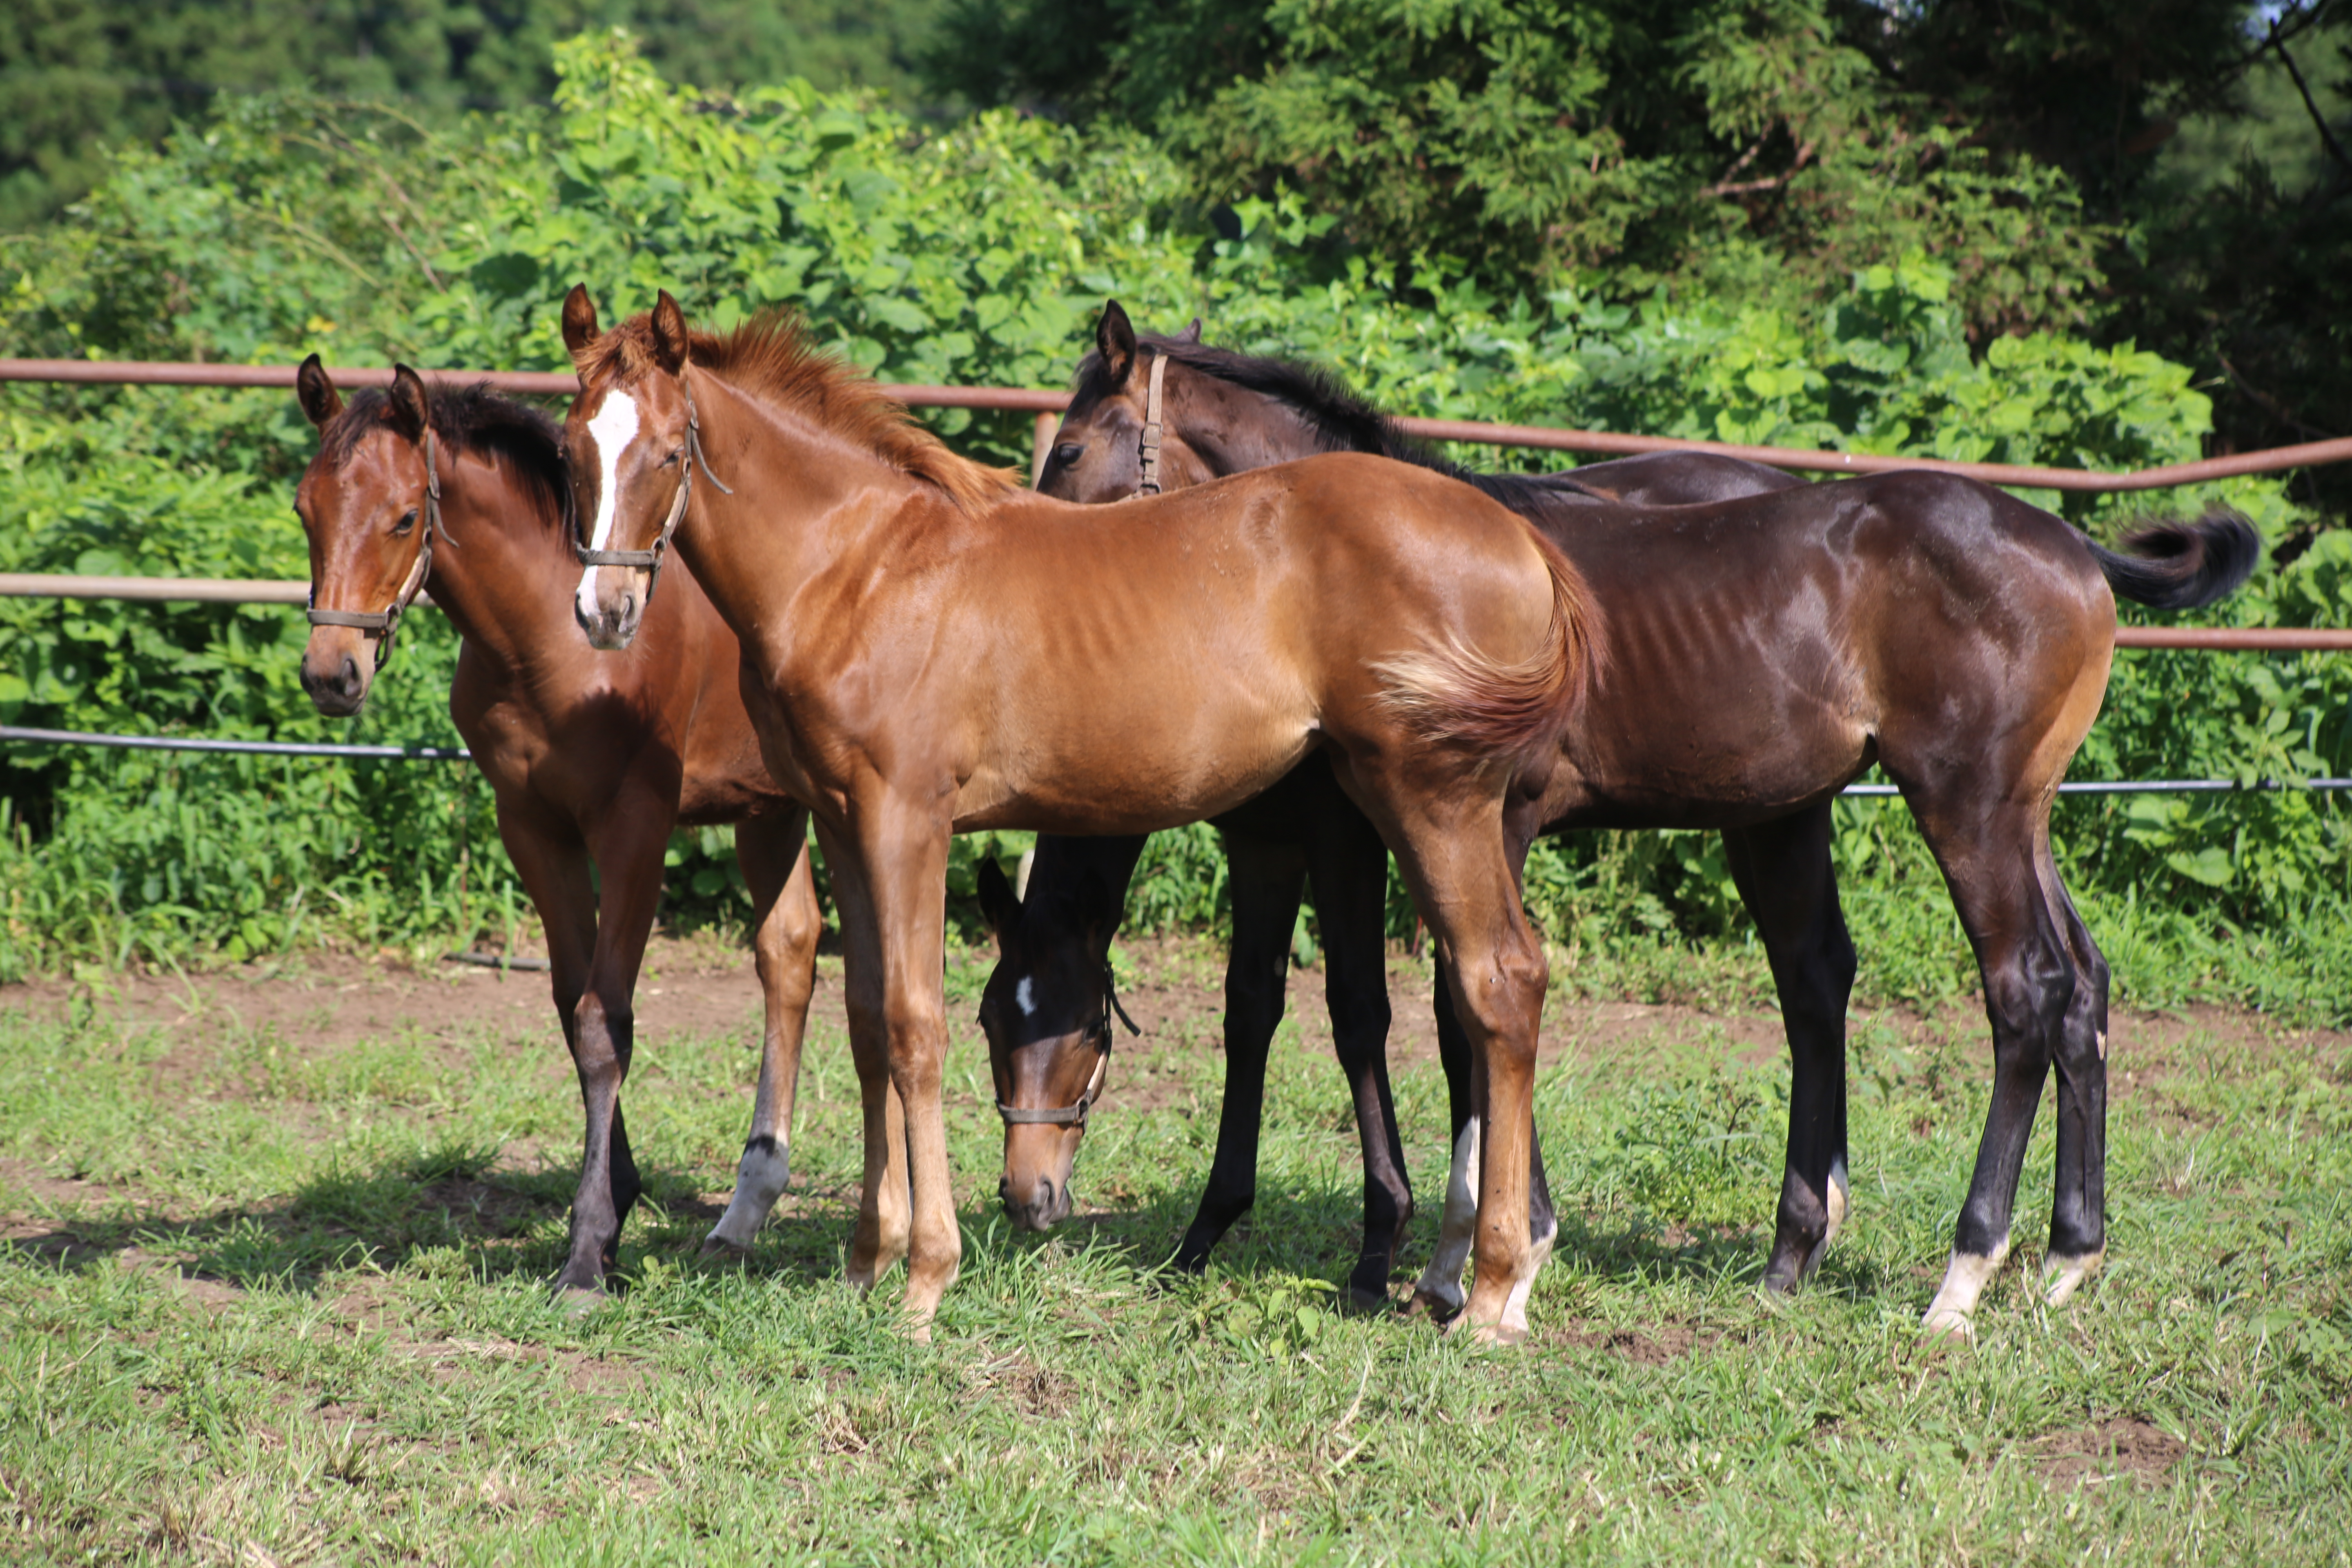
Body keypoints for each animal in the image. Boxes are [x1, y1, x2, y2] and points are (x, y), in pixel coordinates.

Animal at [293, 362, 842, 1307]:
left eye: (403, 516)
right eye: (304, 511)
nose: (334, 675)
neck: (550, 637)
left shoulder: (634, 827)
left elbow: (603, 1019)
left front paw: (587, 1253)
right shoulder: (531, 824)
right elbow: (569, 1002)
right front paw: (616, 1203)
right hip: (769, 813)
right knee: (790, 953)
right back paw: (750, 1205)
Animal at [564, 288, 1599, 1345]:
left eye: (668, 454)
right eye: (571, 453)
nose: (604, 611)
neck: (857, 569)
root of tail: (1520, 541)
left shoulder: (909, 820)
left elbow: (913, 1026)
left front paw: (924, 1280)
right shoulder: (843, 821)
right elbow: (865, 1024)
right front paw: (864, 1261)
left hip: (1433, 799)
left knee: (1497, 984)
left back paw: (1492, 1286)